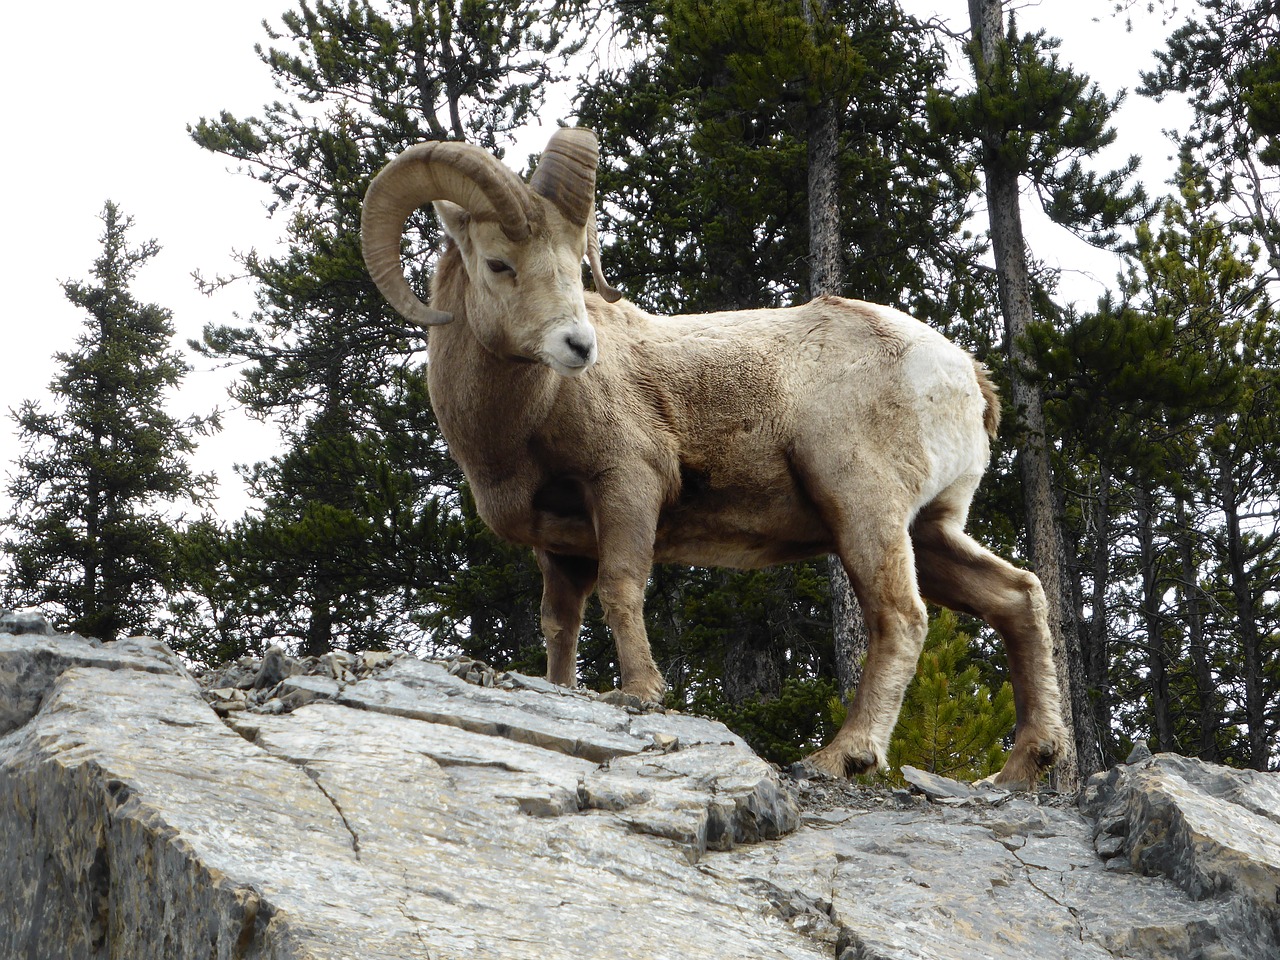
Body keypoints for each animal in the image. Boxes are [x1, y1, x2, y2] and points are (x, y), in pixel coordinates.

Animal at [360, 128, 1070, 788]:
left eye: (572, 265)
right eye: (500, 264)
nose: (578, 346)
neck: (528, 418)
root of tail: (966, 375)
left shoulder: (625, 488)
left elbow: (622, 589)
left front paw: (641, 693)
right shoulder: (560, 546)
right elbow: (559, 625)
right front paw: (563, 693)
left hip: (863, 510)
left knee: (901, 618)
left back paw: (840, 758)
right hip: (931, 530)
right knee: (1017, 596)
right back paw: (1021, 766)